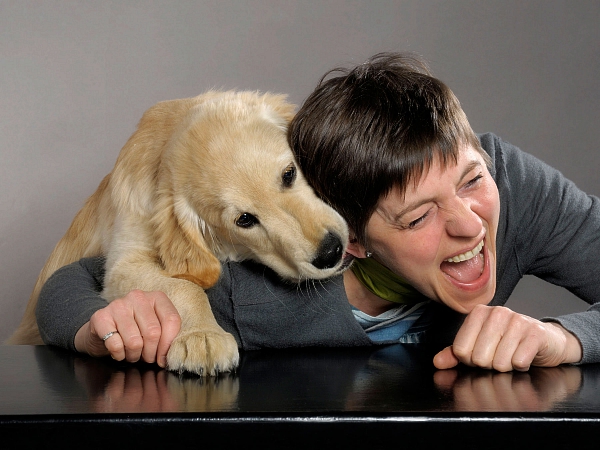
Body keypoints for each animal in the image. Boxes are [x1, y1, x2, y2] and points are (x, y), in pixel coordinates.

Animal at [7, 89, 350, 374]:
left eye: (289, 174)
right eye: (245, 220)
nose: (330, 252)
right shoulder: (123, 264)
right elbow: (185, 286)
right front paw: (203, 335)